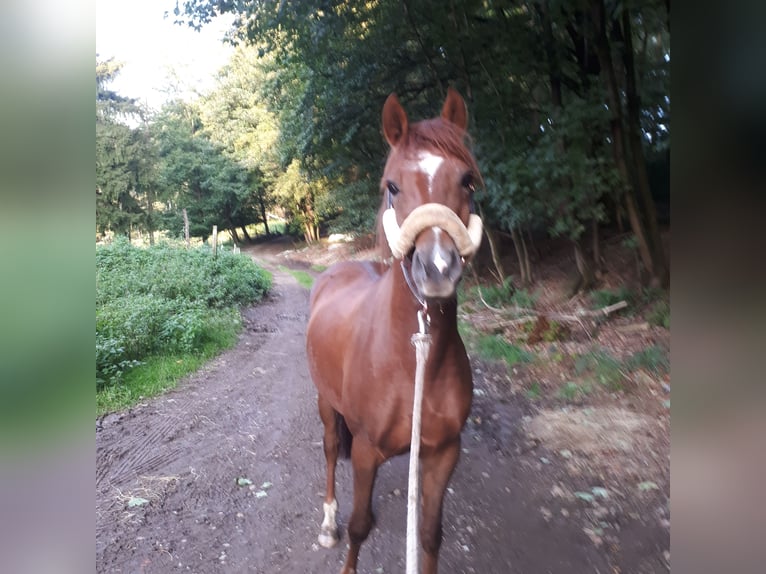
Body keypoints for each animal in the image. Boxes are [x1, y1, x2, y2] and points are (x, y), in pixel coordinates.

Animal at [308, 90, 484, 574]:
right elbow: (358, 528)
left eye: (468, 181)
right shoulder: (366, 450)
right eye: (392, 185)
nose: (438, 268)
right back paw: (327, 521)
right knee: (330, 449)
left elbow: (428, 534)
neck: (410, 360)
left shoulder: (443, 453)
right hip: (326, 403)